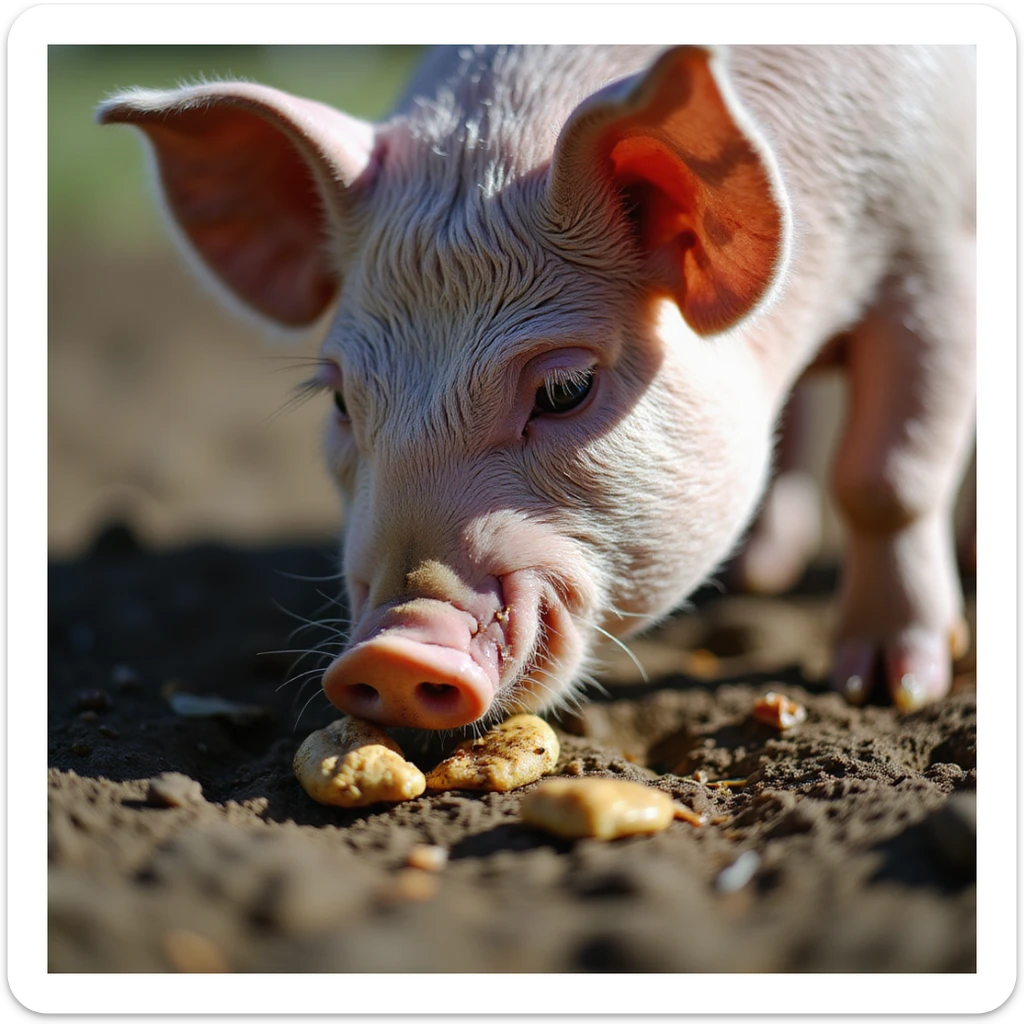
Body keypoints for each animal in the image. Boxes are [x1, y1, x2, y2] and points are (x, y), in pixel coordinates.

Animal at [97, 45, 976, 729]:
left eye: (565, 389)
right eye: (342, 399)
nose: (391, 649)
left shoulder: (934, 255)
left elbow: (885, 481)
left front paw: (886, 687)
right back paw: (759, 572)